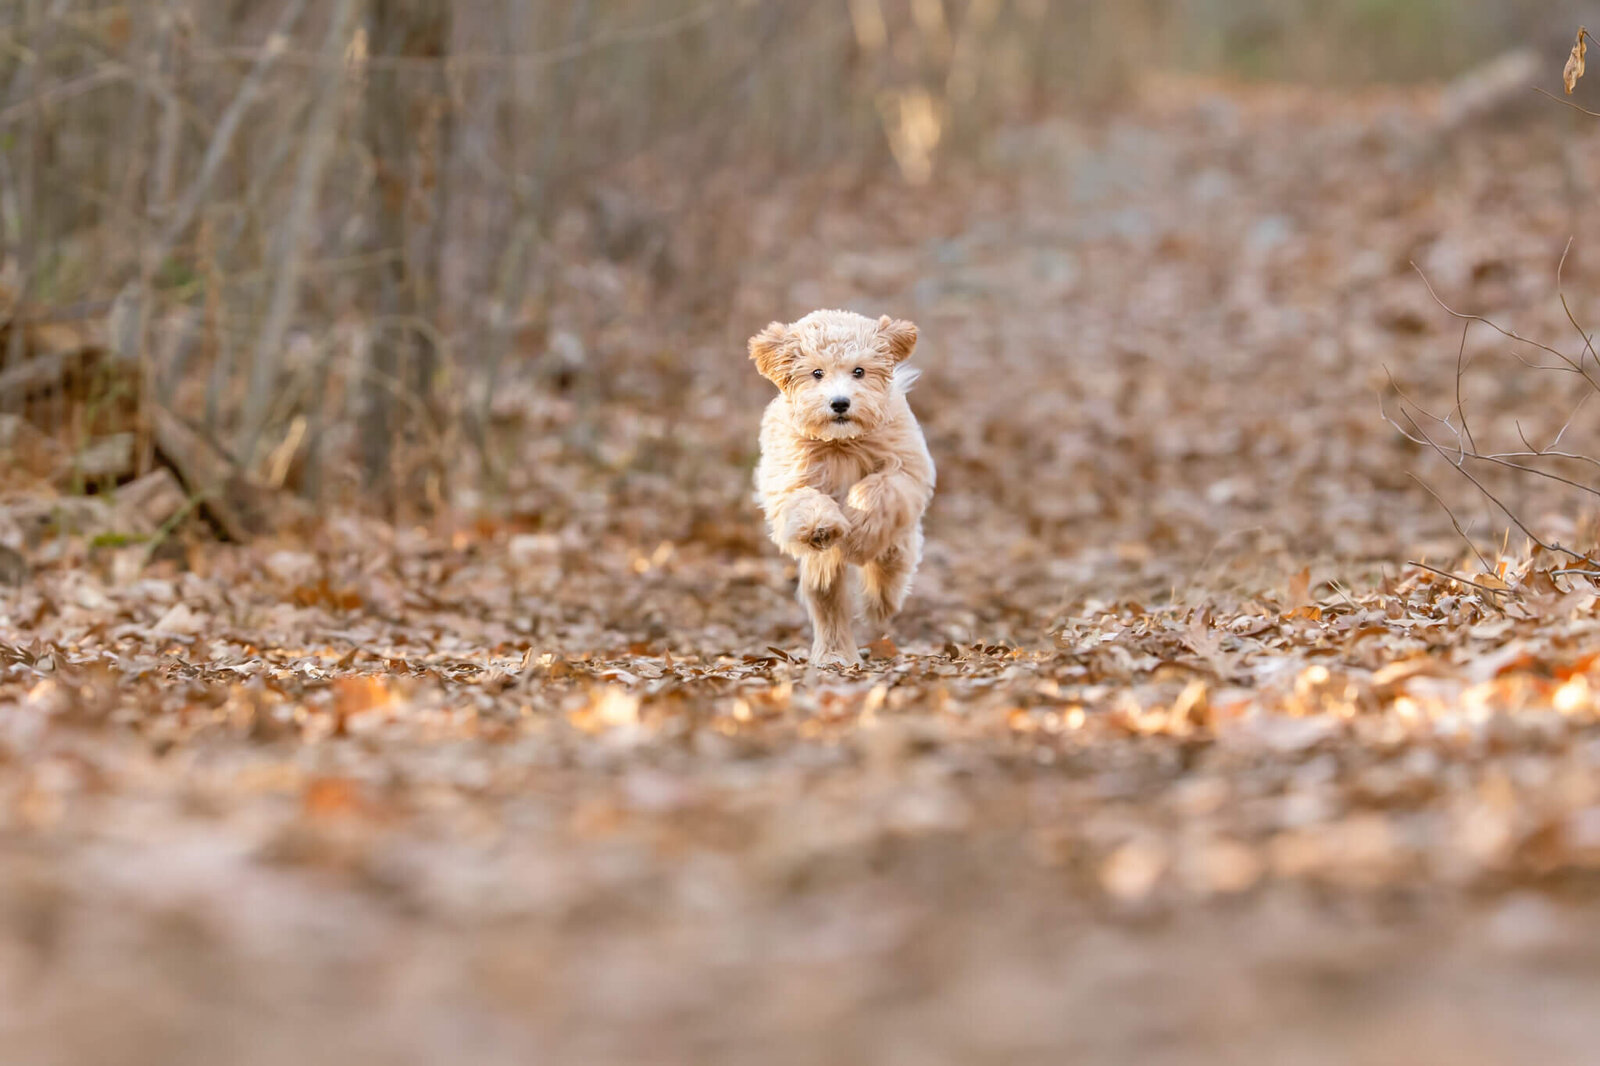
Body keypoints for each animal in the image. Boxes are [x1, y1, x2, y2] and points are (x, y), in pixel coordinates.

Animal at [752, 302, 934, 665]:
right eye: (817, 373)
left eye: (859, 371)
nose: (839, 403)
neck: (841, 443)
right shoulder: (790, 484)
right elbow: (806, 501)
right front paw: (822, 526)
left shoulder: (904, 470)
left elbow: (877, 490)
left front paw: (860, 531)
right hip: (822, 568)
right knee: (827, 599)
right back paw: (835, 654)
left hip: (901, 537)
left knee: (891, 562)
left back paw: (880, 602)